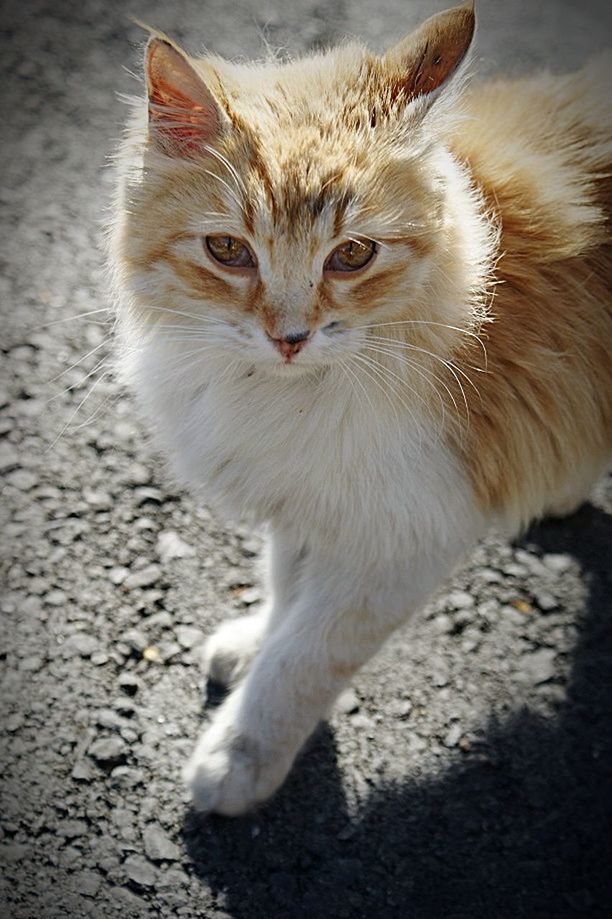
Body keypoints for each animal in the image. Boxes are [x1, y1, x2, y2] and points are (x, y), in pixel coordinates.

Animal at [111, 3, 612, 816]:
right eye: (227, 251)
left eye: (352, 256)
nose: (289, 337)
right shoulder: (311, 497)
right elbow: (288, 591)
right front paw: (253, 642)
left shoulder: (404, 535)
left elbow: (305, 657)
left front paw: (240, 755)